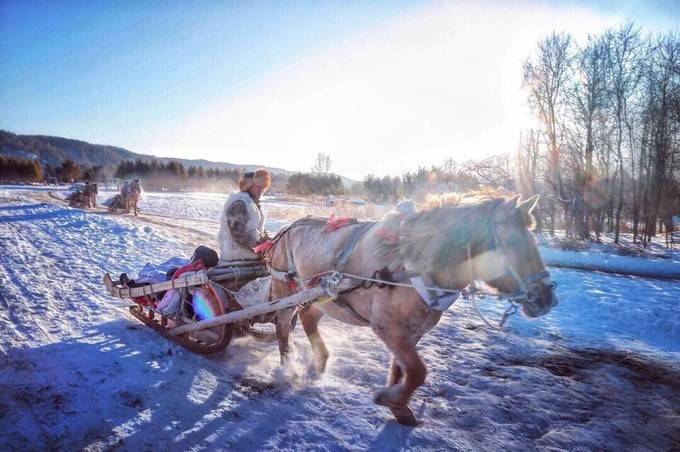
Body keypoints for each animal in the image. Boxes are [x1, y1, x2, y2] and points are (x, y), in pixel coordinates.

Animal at [268, 192, 560, 426]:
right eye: (511, 243)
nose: (547, 299)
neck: (413, 267)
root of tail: (287, 227)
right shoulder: (388, 328)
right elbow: (419, 372)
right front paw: (390, 398)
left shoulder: (413, 332)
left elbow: (403, 370)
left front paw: (398, 405)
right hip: (285, 290)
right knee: (283, 326)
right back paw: (287, 366)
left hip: (324, 299)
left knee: (308, 317)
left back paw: (320, 361)